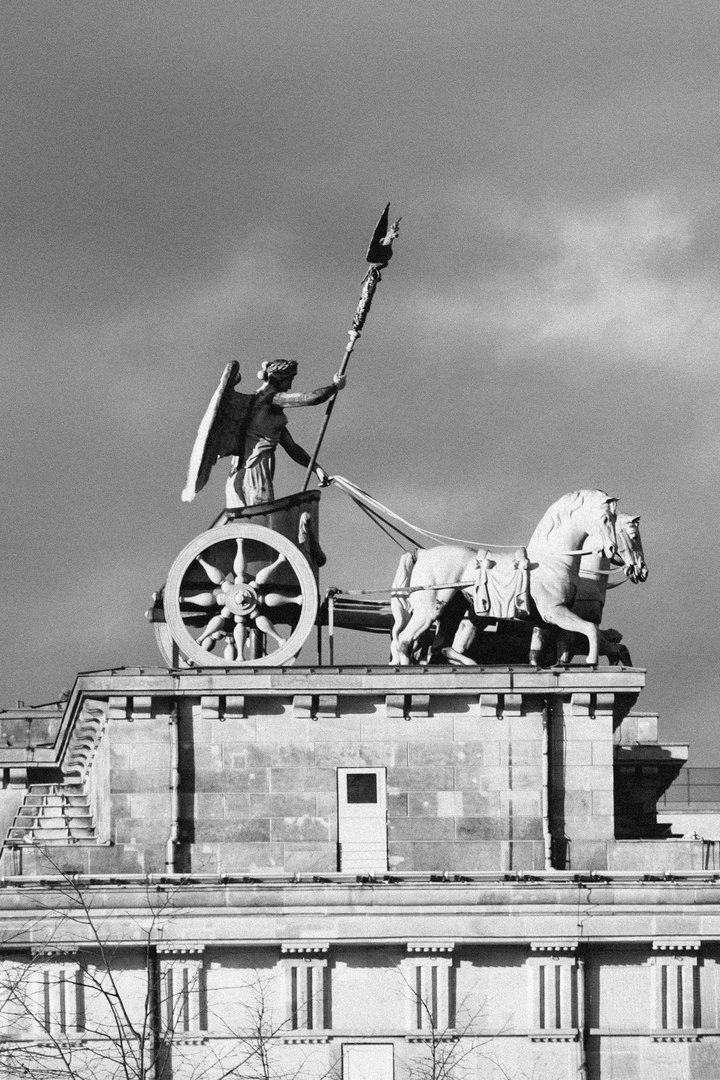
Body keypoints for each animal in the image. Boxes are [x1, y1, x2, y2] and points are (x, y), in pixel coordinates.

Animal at [390, 492, 617, 665]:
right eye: (606, 519)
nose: (612, 549)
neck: (553, 557)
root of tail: (421, 554)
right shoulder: (554, 611)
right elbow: (590, 628)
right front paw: (592, 661)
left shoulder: (550, 618)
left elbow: (559, 644)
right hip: (430, 608)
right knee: (404, 640)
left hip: (453, 610)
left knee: (438, 646)